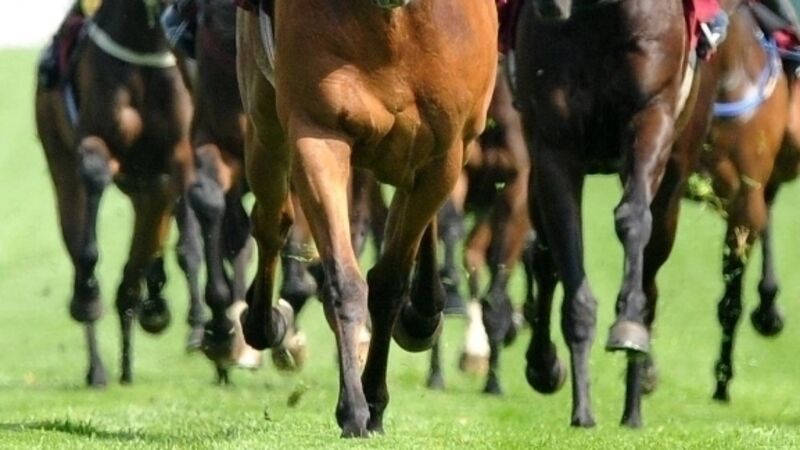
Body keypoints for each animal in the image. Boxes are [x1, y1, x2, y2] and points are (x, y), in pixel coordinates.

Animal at [36, 0, 193, 386]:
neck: (143, 41)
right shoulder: (95, 141)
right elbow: (93, 179)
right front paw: (88, 295)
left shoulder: (174, 158)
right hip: (60, 162)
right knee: (77, 235)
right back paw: (100, 366)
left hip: (144, 189)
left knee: (143, 253)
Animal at [236, 0, 498, 436]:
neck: (391, 22)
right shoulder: (317, 132)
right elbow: (345, 280)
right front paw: (354, 408)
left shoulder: (443, 157)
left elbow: (389, 284)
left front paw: (373, 400)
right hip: (265, 122)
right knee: (271, 220)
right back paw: (262, 321)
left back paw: (423, 312)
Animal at [515, 0, 716, 427]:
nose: (547, 5)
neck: (600, 20)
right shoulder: (553, 145)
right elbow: (565, 252)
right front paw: (582, 409)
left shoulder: (652, 113)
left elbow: (633, 217)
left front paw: (628, 326)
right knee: (543, 258)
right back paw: (544, 365)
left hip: (677, 170)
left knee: (652, 268)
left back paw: (634, 406)